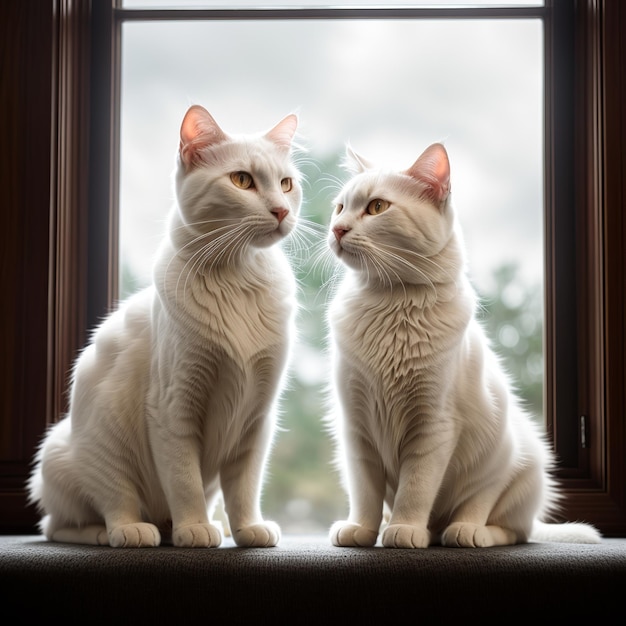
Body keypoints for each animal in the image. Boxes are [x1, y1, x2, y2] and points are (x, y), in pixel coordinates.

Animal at [28, 105, 302, 544]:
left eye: (286, 184)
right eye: (242, 180)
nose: (281, 210)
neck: (239, 278)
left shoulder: (257, 418)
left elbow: (244, 487)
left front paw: (247, 529)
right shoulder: (174, 409)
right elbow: (184, 481)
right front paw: (194, 527)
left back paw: (182, 527)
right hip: (83, 448)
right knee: (74, 519)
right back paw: (128, 531)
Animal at [324, 143, 596, 544]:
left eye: (376, 207)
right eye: (340, 208)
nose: (337, 229)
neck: (390, 306)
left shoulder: (433, 426)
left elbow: (415, 488)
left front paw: (406, 528)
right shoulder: (356, 427)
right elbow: (364, 492)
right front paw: (363, 528)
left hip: (516, 459)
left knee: (504, 522)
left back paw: (465, 531)